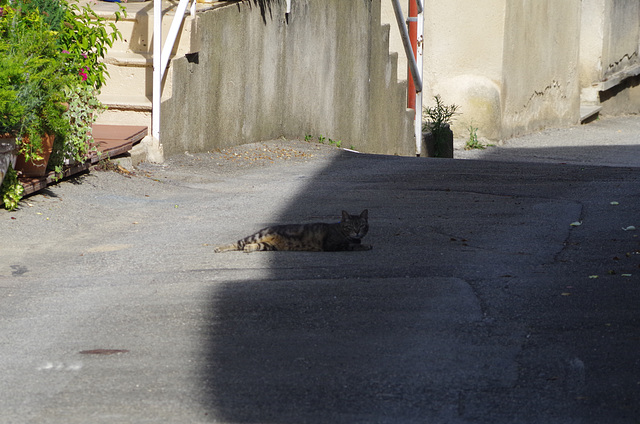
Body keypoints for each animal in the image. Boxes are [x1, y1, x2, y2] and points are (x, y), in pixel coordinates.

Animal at [212, 210, 372, 252]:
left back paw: (248, 248)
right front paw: (365, 245)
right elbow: (351, 245)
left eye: (361, 225)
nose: (357, 232)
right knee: (238, 243)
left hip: (269, 246)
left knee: (250, 245)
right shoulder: (332, 245)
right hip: (257, 236)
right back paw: (220, 248)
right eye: (350, 226)